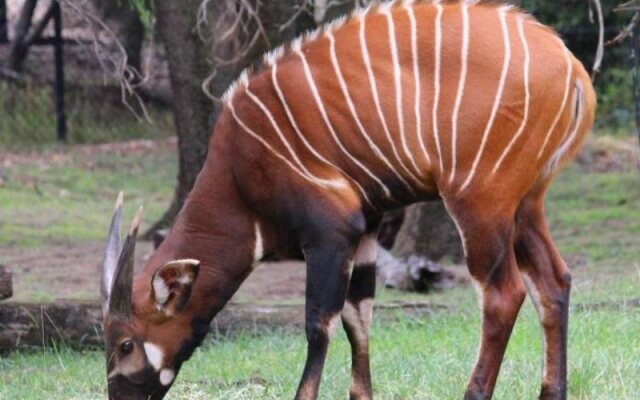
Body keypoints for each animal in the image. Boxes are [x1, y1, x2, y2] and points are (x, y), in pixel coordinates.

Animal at [100, 1, 596, 398]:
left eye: (124, 344)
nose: (120, 397)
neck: (239, 172)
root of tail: (571, 69)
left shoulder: (331, 232)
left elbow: (319, 324)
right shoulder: (369, 227)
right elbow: (359, 318)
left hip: (479, 202)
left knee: (503, 294)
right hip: (525, 205)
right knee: (555, 281)